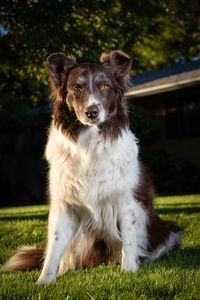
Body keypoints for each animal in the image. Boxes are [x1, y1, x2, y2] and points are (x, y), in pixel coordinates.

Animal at [3, 49, 182, 284]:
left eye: (105, 85)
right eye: (76, 88)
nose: (92, 112)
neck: (90, 144)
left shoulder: (127, 203)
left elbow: (129, 241)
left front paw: (129, 272)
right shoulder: (64, 205)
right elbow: (54, 246)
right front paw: (44, 281)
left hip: (170, 229)